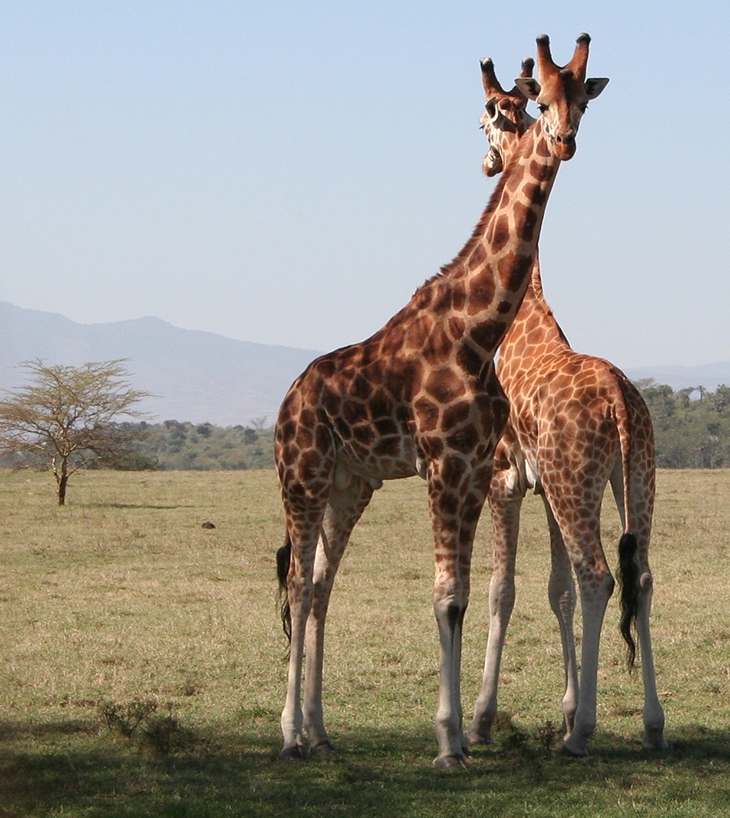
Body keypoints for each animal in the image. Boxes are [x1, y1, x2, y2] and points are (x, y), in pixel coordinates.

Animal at [272, 36, 604, 764]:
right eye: (536, 100)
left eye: (582, 98)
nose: (563, 140)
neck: (479, 329)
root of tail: (286, 403)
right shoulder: (445, 466)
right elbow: (446, 596)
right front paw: (451, 740)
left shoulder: (476, 470)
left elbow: (468, 596)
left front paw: (461, 733)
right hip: (302, 477)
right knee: (297, 586)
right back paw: (289, 735)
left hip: (350, 483)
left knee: (321, 584)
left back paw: (320, 730)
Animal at [460, 60, 664, 756]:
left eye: (486, 118)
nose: (487, 162)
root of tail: (621, 404)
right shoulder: (549, 487)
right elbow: (557, 593)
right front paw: (566, 703)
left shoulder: (504, 477)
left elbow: (503, 589)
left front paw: (483, 717)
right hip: (633, 477)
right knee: (639, 575)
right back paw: (651, 724)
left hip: (583, 483)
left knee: (601, 575)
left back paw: (584, 734)